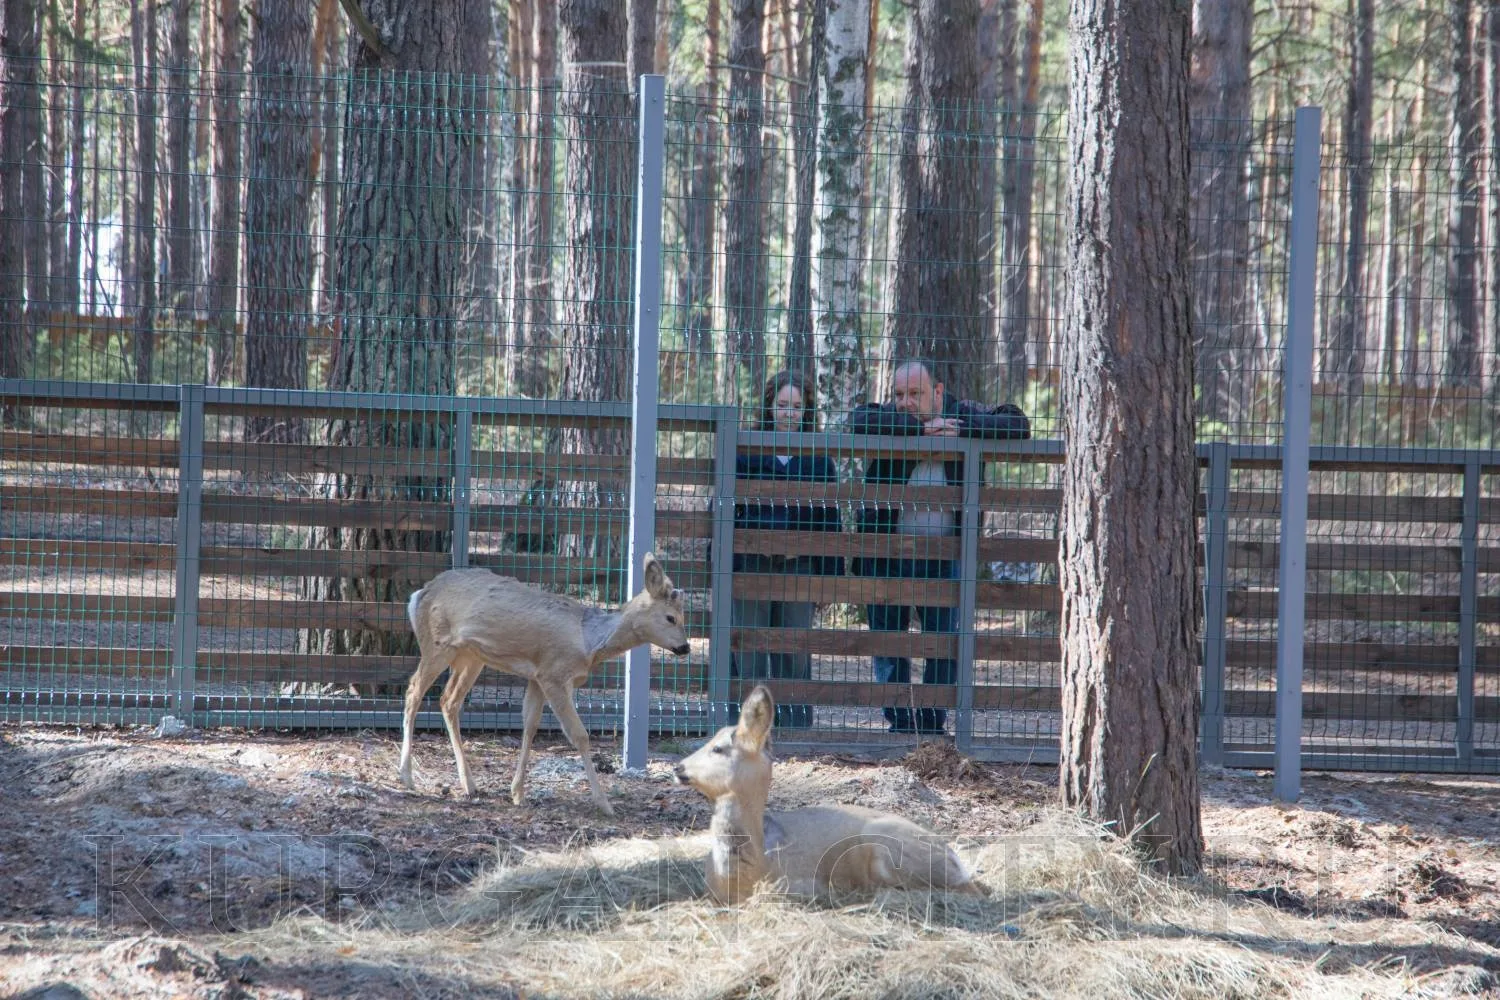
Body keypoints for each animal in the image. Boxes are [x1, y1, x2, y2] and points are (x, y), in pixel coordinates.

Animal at [399, 552, 691, 816]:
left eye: (683, 616)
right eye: (671, 617)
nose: (685, 647)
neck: (589, 641)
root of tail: (418, 596)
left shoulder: (537, 676)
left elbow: (530, 726)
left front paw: (517, 792)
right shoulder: (554, 675)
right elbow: (579, 735)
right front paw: (604, 804)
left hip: (470, 657)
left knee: (448, 700)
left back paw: (469, 785)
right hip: (437, 644)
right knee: (413, 691)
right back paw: (407, 777)